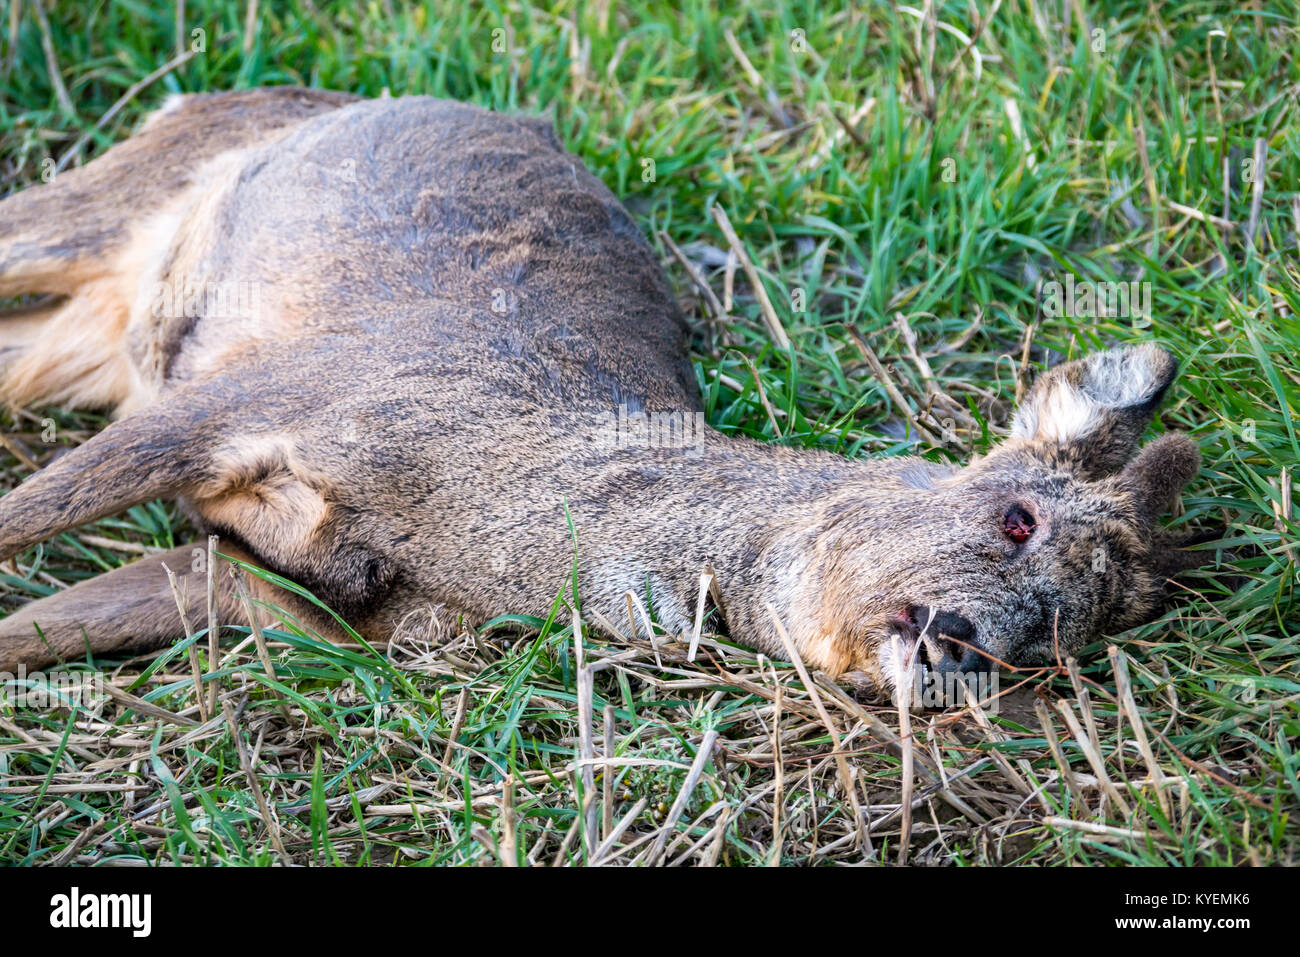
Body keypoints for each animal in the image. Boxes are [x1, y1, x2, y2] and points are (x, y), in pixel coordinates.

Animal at [0, 87, 1206, 696]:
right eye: (1016, 516)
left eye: (1050, 640)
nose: (963, 646)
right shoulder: (255, 399)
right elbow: (23, 520)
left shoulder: (297, 601)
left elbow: (62, 620)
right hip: (107, 211)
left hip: (85, 335)